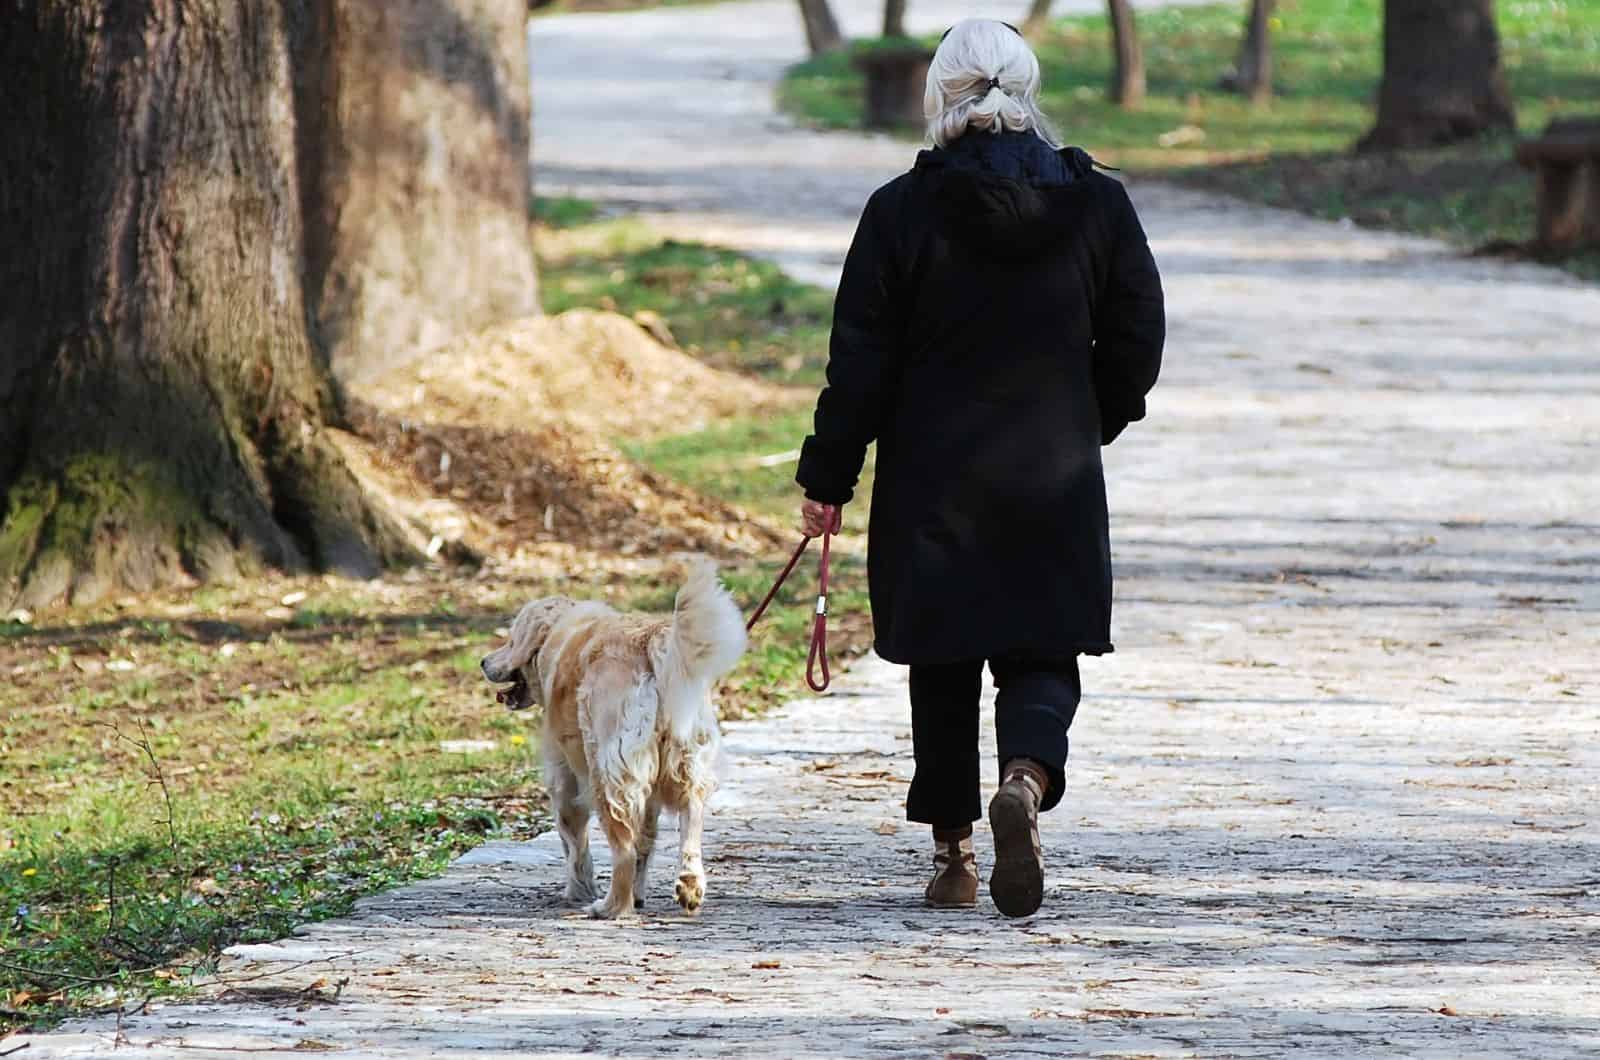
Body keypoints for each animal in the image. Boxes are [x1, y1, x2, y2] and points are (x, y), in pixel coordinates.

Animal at [476, 563, 745, 922]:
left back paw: (610, 906)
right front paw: (640, 893)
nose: (483, 661)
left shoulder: (563, 775)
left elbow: (574, 841)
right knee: (689, 823)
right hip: (687, 763)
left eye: (510, 640)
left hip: (608, 771)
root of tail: (649, 641)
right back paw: (688, 887)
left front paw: (578, 889)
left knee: (623, 848)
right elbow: (647, 840)